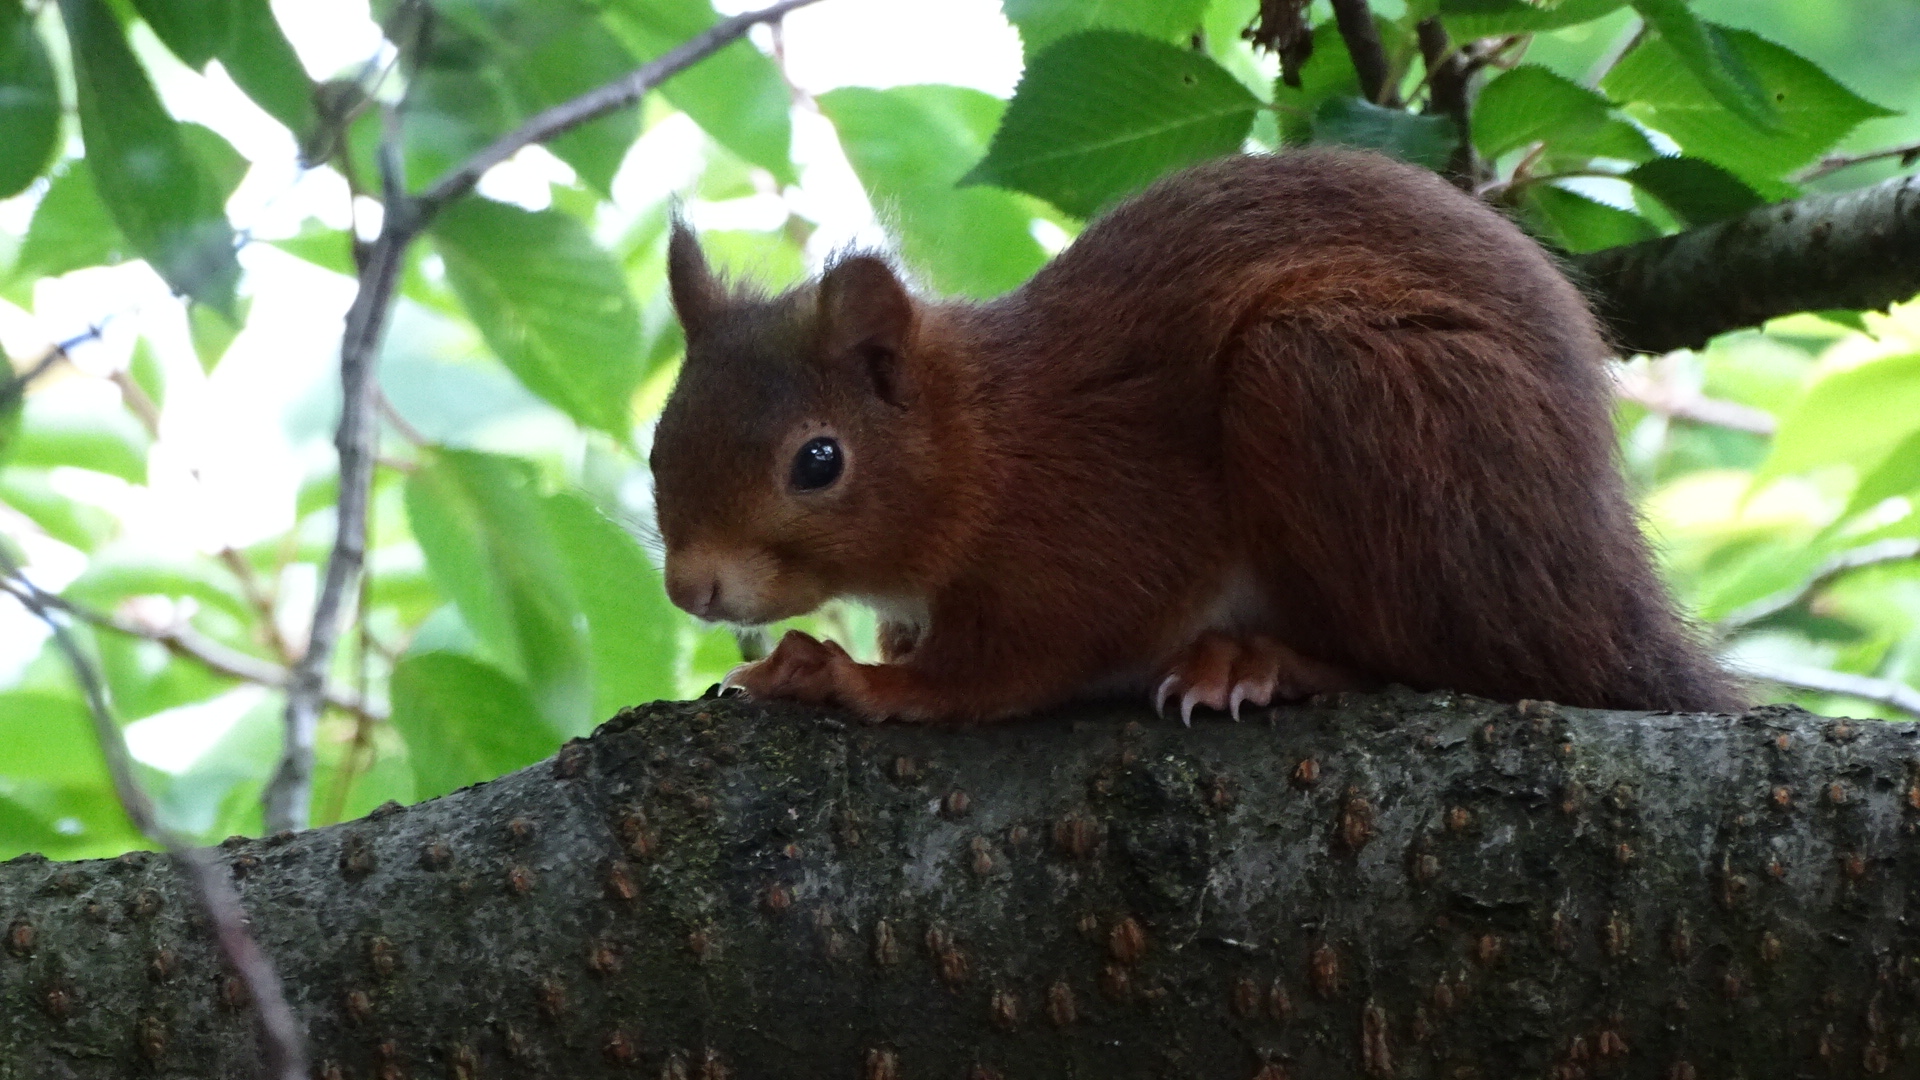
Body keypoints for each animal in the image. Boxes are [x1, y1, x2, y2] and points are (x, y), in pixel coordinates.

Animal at [645, 147, 1743, 718]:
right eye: (660, 443)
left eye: (818, 461)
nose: (692, 590)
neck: (985, 445)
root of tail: (1603, 599)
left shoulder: (1098, 530)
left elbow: (1007, 668)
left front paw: (855, 677)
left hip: (1338, 391)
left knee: (1445, 662)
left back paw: (1254, 663)